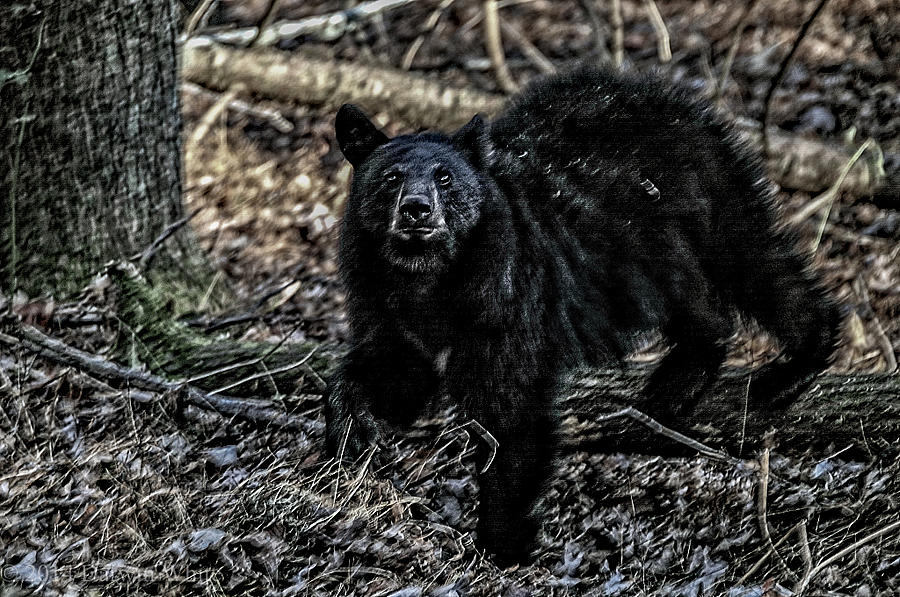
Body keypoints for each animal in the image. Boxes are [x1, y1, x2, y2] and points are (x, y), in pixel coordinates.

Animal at [324, 67, 841, 565]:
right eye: (391, 177)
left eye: (445, 177)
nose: (417, 210)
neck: (427, 278)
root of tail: (671, 98)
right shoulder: (382, 303)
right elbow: (395, 370)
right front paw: (351, 430)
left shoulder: (507, 299)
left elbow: (512, 413)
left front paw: (502, 543)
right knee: (706, 298)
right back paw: (679, 382)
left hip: (697, 201)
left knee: (752, 259)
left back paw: (795, 363)